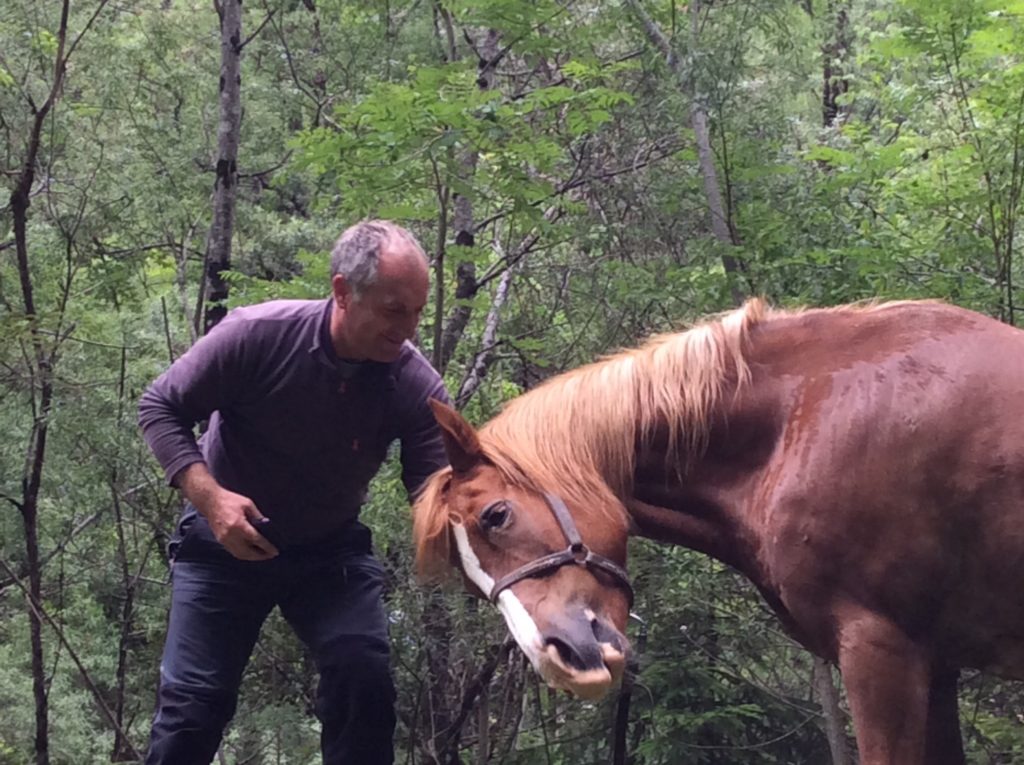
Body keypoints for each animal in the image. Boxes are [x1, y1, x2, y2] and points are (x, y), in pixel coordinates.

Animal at [411, 299, 1024, 765]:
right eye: (466, 580)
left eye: (496, 515)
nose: (557, 660)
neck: (808, 416)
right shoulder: (937, 665)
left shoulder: (882, 651)